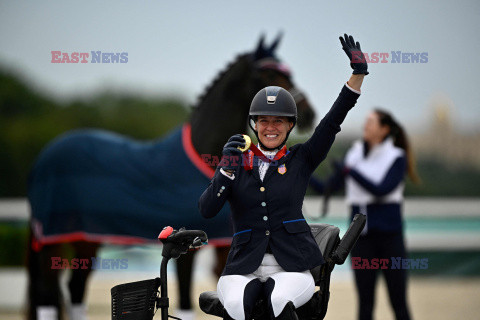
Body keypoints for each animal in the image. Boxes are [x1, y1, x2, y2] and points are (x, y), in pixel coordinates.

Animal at [26, 33, 316, 318]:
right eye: (269, 74)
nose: (309, 113)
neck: (202, 152)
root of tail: (44, 157)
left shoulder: (225, 246)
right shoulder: (187, 247)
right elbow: (186, 302)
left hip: (86, 239)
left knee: (75, 288)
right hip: (54, 239)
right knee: (48, 294)